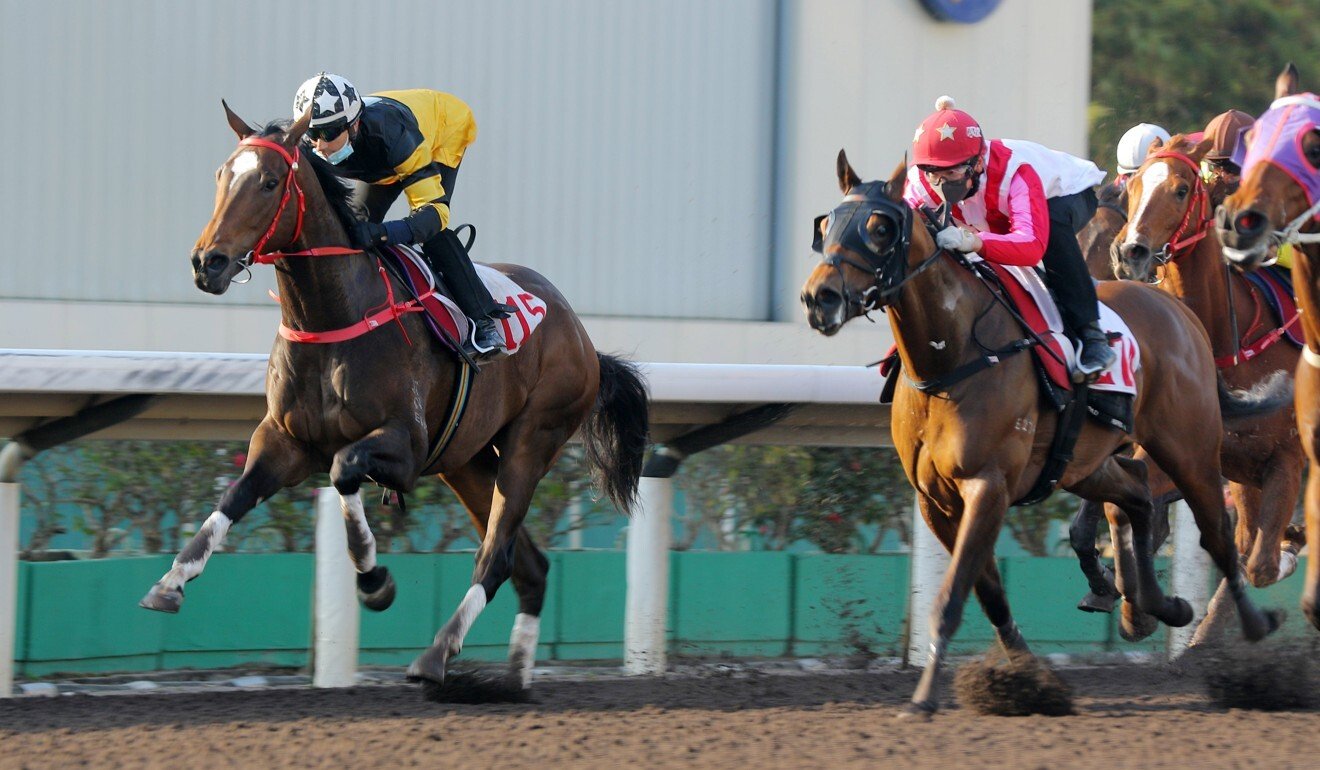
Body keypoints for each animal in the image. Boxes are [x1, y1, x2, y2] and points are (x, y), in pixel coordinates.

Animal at [137, 103, 649, 692]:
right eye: (222, 175)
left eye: (268, 182)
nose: (209, 263)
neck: (332, 314)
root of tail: (581, 335)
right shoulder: (283, 440)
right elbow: (235, 498)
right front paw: (171, 581)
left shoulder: (405, 446)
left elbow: (343, 469)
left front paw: (373, 578)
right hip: (467, 461)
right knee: (531, 568)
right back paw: (514, 679)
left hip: (532, 440)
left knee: (496, 557)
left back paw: (437, 654)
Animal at [797, 150, 1283, 718]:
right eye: (827, 225)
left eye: (878, 228)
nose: (819, 298)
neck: (952, 355)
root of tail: (1182, 312)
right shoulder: (934, 500)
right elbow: (989, 595)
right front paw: (1030, 681)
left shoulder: (987, 485)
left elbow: (952, 596)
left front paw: (922, 699)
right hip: (1085, 464)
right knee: (1137, 494)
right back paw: (1157, 606)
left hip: (1191, 449)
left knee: (1219, 535)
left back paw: (1252, 628)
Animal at [1114, 130, 1309, 639]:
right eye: (1131, 188)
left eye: (1181, 190)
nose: (1129, 252)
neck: (1228, 344)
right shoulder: (1197, 455)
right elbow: (1123, 506)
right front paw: (1138, 612)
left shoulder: (1289, 460)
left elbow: (1262, 563)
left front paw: (1289, 546)